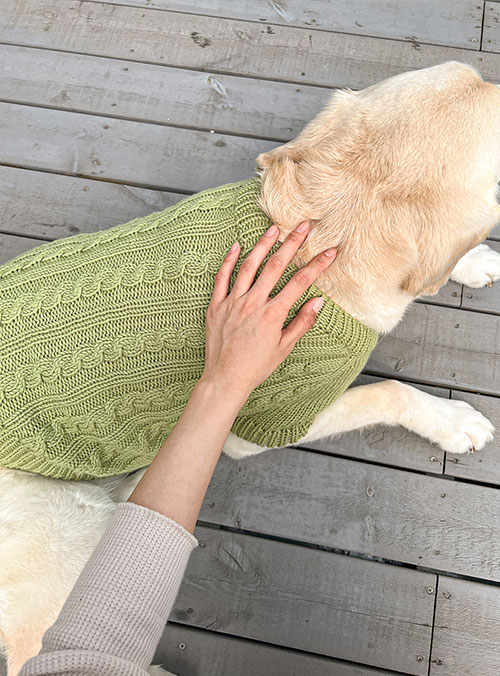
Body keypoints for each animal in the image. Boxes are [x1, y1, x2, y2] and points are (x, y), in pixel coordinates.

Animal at [2, 60, 500, 674]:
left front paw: (475, 262)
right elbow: (388, 391)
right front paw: (454, 423)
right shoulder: (266, 418)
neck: (324, 228)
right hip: (66, 535)